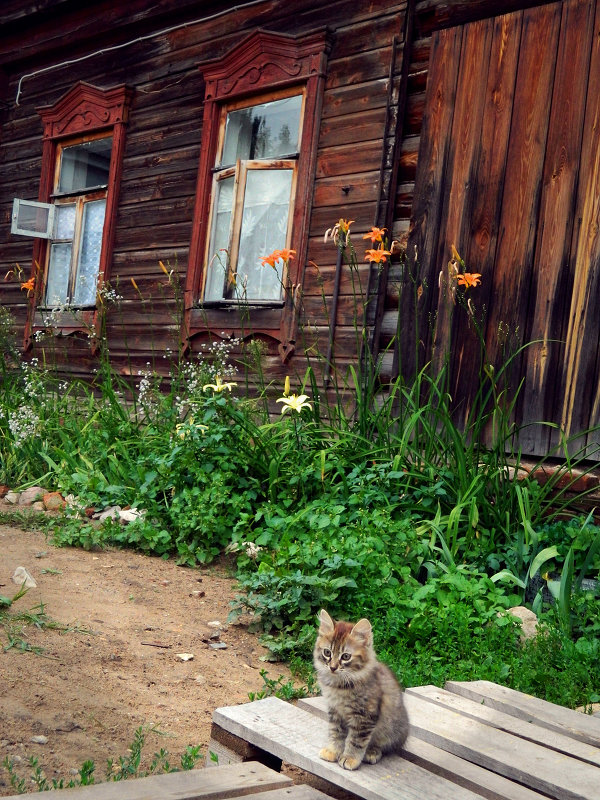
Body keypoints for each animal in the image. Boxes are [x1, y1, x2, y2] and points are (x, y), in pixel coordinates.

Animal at [314, 608, 408, 772]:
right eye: (327, 653)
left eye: (346, 656)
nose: (332, 667)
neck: (339, 686)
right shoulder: (335, 711)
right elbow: (336, 733)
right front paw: (333, 751)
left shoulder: (364, 716)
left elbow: (356, 741)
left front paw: (350, 759)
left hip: (390, 729)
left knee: (383, 746)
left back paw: (371, 752)